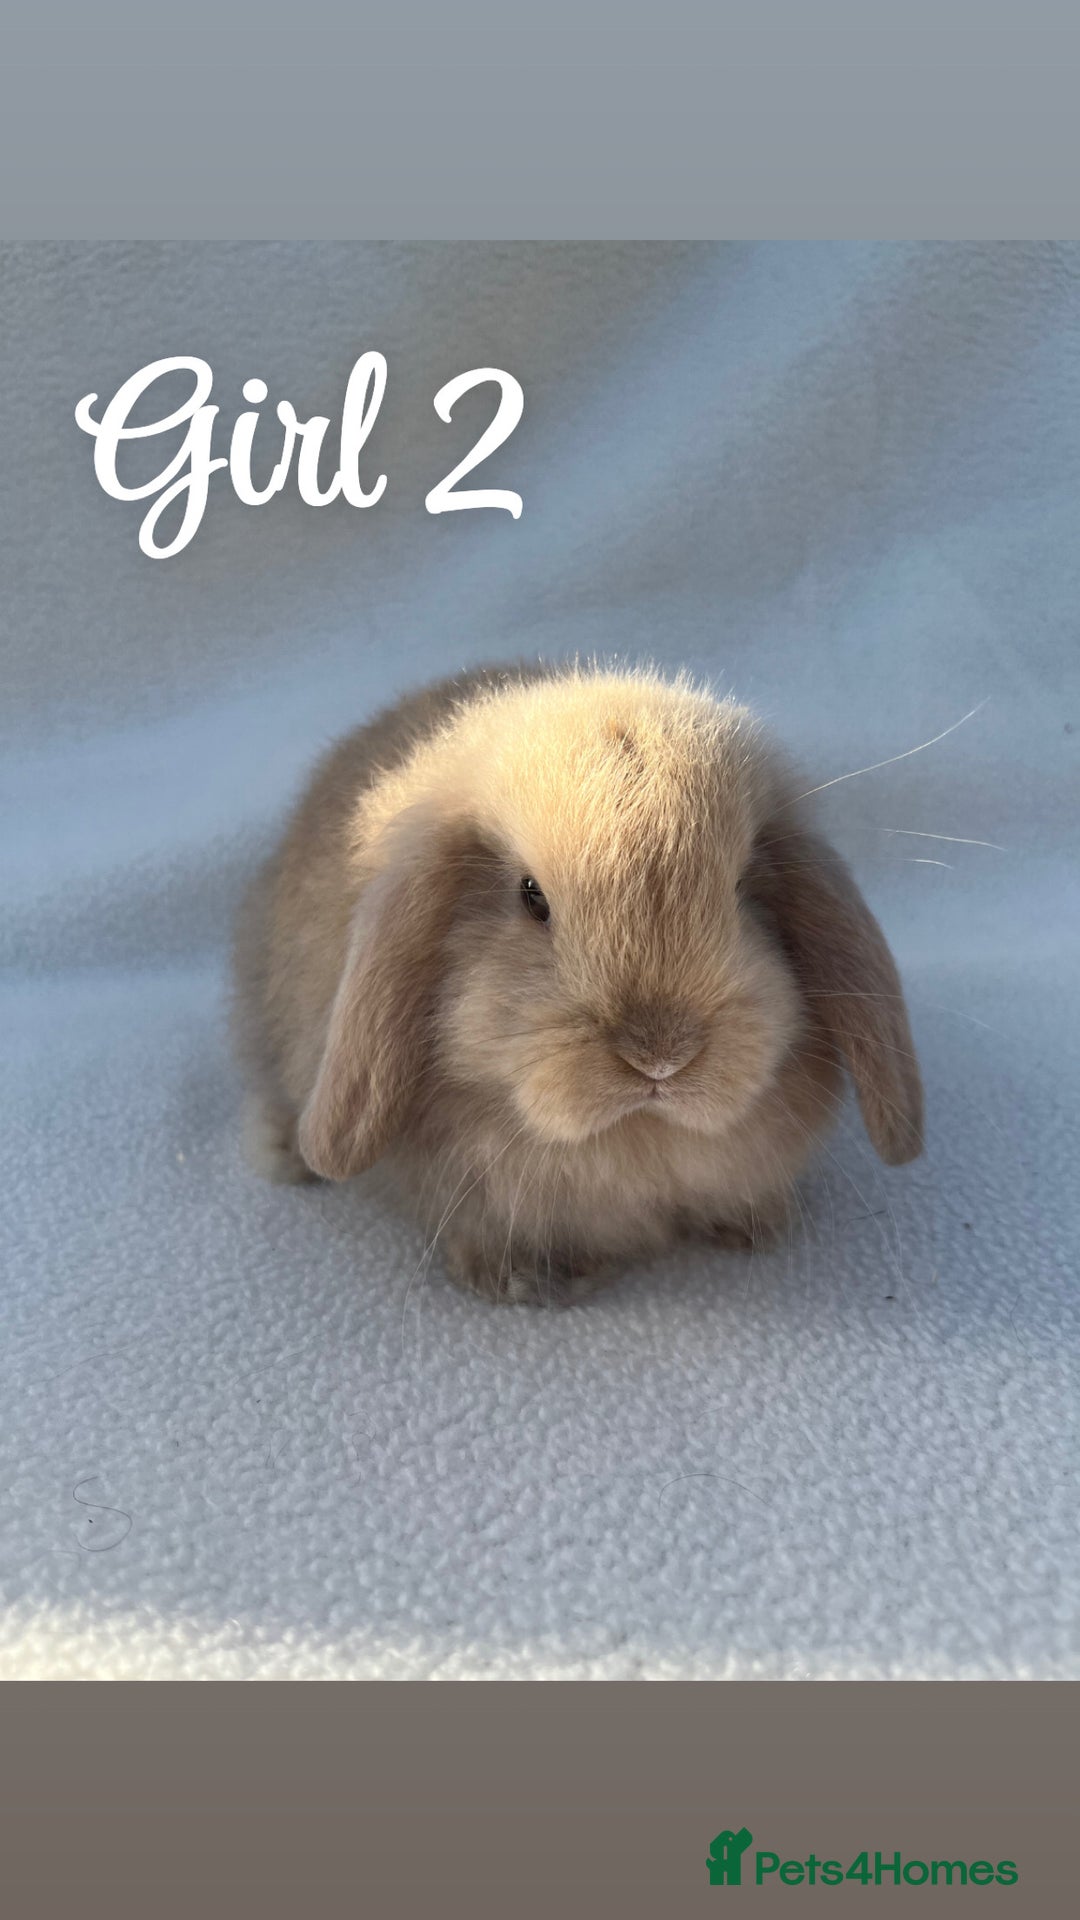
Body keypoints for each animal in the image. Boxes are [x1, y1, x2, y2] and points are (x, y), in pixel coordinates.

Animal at [231, 660, 923, 1304]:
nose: (660, 1056)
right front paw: (521, 1281)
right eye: (531, 896)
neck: (638, 1138)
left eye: (742, 887)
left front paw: (753, 1228)